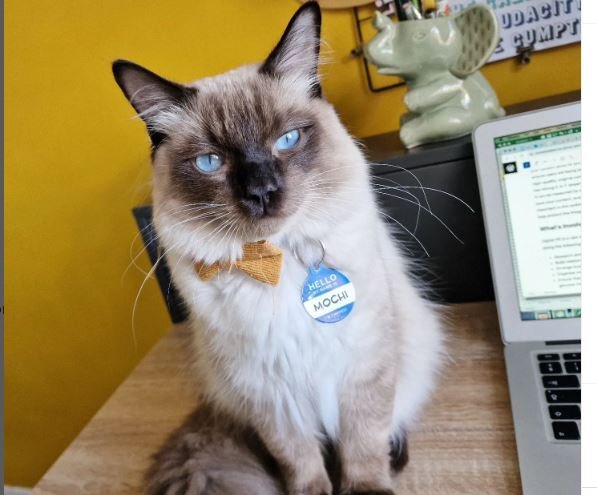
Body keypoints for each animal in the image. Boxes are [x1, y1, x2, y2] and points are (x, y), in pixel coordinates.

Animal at [113, 1, 442, 494]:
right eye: (210, 162)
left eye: (287, 140)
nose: (262, 192)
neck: (277, 259)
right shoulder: (268, 394)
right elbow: (300, 461)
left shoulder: (363, 370)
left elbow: (364, 447)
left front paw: (366, 484)